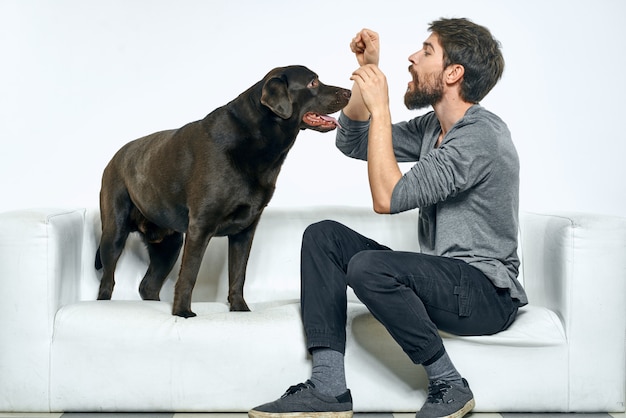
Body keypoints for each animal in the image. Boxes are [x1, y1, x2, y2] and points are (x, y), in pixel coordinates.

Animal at [97, 65, 352, 316]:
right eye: (312, 82)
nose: (349, 92)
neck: (257, 140)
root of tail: (114, 157)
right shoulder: (200, 225)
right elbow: (189, 274)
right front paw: (182, 313)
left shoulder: (245, 230)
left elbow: (238, 274)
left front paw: (240, 310)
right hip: (115, 231)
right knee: (107, 281)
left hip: (169, 244)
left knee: (147, 285)